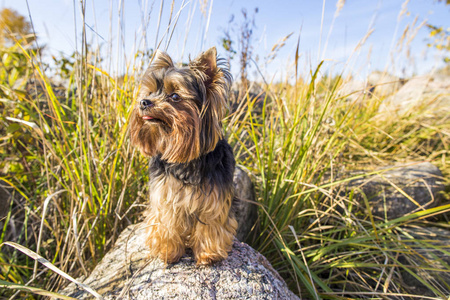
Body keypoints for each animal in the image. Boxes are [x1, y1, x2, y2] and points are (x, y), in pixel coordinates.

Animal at [129, 47, 239, 264]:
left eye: (175, 96)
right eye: (150, 91)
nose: (144, 102)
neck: (186, 160)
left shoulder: (214, 198)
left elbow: (211, 224)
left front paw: (208, 254)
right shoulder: (166, 195)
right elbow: (167, 223)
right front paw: (168, 251)